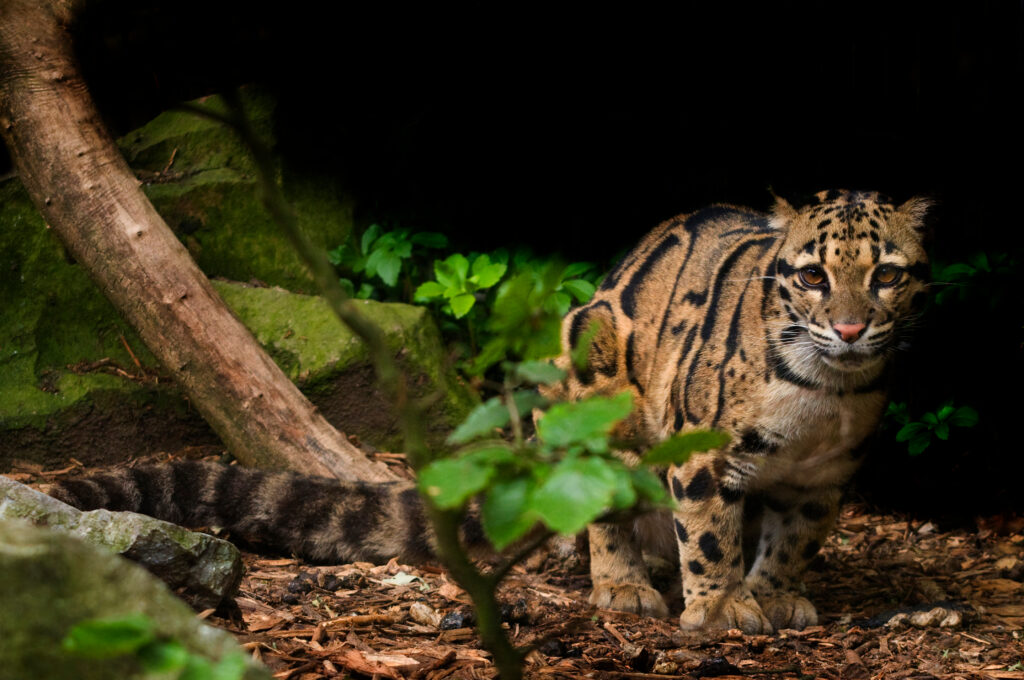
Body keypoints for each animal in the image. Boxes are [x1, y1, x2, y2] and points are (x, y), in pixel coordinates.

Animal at [46, 189, 929, 630]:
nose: (852, 327)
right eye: (812, 276)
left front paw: (774, 594)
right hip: (590, 368)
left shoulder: (824, 478)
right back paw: (626, 586)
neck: (825, 395)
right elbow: (711, 534)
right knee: (603, 512)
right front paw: (717, 607)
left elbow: (792, 542)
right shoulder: (703, 452)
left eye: (887, 274)